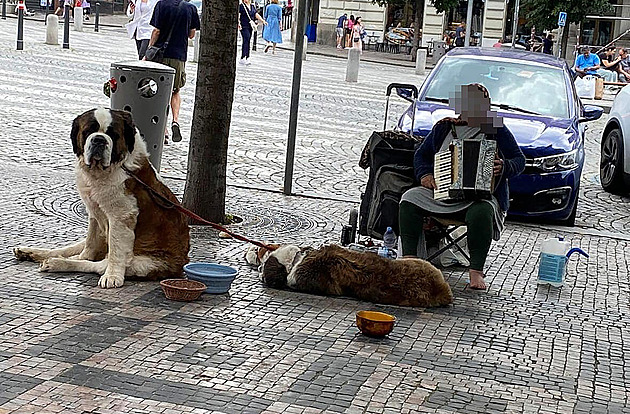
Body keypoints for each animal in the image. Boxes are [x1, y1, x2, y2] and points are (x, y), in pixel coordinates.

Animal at [12, 106, 190, 288]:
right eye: (88, 131)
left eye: (112, 134)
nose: (99, 139)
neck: (107, 169)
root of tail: (181, 264)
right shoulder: (94, 212)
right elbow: (90, 242)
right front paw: (83, 256)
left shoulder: (121, 217)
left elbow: (115, 252)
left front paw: (112, 276)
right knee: (72, 249)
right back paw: (33, 253)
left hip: (143, 263)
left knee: (98, 264)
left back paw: (56, 262)